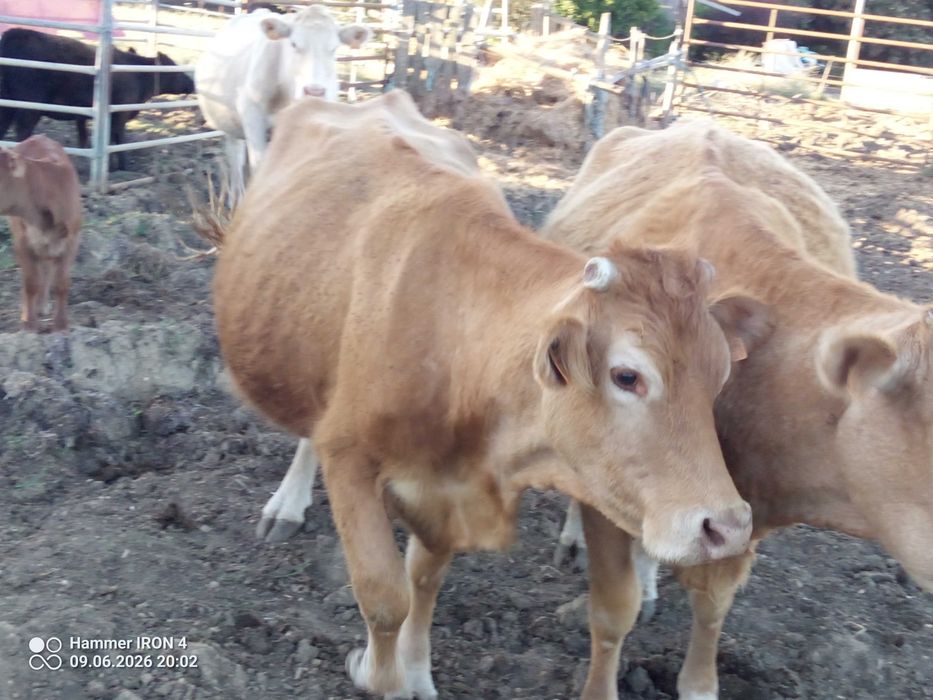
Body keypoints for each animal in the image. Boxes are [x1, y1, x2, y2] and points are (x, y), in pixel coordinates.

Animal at [0, 28, 194, 170]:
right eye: (175, 69)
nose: (192, 83)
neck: (138, 75)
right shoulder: (119, 115)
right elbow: (116, 139)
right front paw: (121, 167)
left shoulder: (84, 117)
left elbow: (86, 139)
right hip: (29, 108)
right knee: (23, 132)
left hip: (7, 105)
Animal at [0, 135, 81, 332]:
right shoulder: (21, 241)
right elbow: (30, 282)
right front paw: (29, 323)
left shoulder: (72, 240)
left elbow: (61, 283)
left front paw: (61, 324)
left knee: (47, 268)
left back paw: (42, 306)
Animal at [195, 5, 370, 204]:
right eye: (293, 44)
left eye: (333, 48)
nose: (314, 92)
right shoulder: (252, 113)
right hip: (228, 120)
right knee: (235, 155)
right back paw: (236, 198)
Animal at [208, 90, 771, 698]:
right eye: (627, 376)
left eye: (720, 374)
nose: (727, 527)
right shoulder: (351, 458)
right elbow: (384, 595)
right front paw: (376, 672)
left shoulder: (445, 490)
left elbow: (423, 578)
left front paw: (416, 671)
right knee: (310, 430)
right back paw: (286, 506)